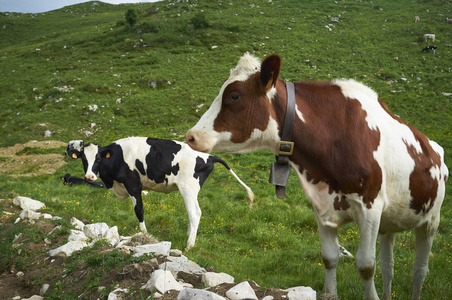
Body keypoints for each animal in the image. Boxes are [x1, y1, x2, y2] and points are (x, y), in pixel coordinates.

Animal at [66, 137, 254, 250]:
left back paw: (189, 245)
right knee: (191, 212)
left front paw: (144, 234)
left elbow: (139, 210)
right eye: (84, 159)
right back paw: (188, 235)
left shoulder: (133, 185)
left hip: (188, 187)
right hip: (190, 190)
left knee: (195, 213)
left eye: (98, 159)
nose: (89, 176)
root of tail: (209, 156)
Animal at [187, 53, 448, 300]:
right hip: (390, 223)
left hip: (430, 220)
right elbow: (330, 258)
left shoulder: (370, 208)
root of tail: (433, 147)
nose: (191, 135)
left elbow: (366, 265)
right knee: (389, 266)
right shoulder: (322, 207)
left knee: (419, 270)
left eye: (234, 96)